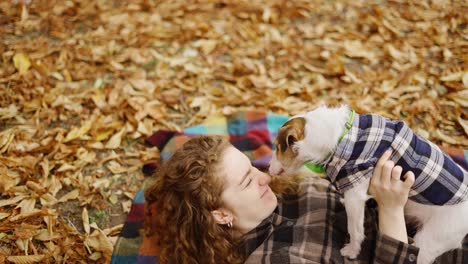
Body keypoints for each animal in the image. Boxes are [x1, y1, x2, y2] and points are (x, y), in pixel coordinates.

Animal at [268, 105, 468, 264]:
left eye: (277, 147)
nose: (268, 169)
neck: (342, 136)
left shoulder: (355, 193)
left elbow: (355, 229)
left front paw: (352, 251)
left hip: (431, 241)